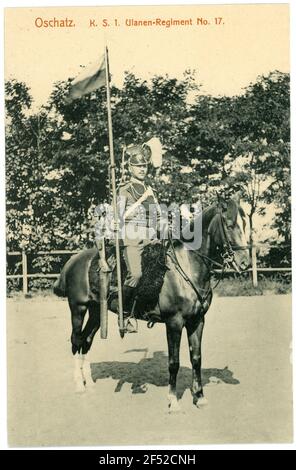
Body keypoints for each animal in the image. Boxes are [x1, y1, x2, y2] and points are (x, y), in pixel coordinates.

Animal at [54, 195, 249, 412]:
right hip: (78, 309)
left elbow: (196, 359)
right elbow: (174, 362)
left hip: (97, 312)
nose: (245, 263)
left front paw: (199, 397)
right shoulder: (174, 323)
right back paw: (79, 385)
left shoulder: (197, 321)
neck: (187, 267)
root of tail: (73, 260)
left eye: (245, 224)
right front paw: (173, 401)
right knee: (76, 340)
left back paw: (89, 382)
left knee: (86, 341)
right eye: (230, 225)